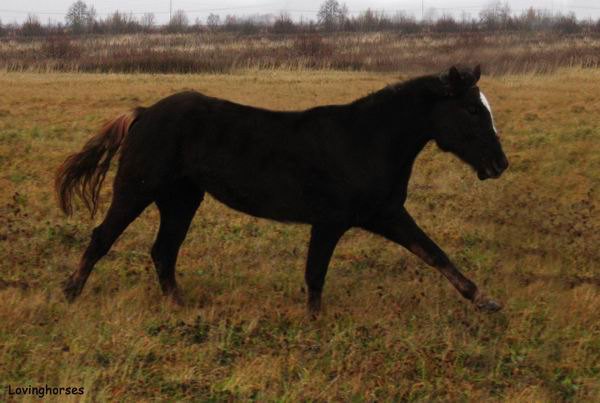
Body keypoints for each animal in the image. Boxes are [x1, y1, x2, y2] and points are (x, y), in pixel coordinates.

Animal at [55, 66, 506, 318]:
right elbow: (315, 274)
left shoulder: (386, 214)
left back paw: (178, 306)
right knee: (103, 237)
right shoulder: (331, 221)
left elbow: (433, 252)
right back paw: (70, 293)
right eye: (471, 110)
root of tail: (144, 112)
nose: (500, 164)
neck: (364, 141)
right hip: (137, 189)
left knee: (163, 251)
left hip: (182, 199)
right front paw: (314, 325)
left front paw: (485, 301)